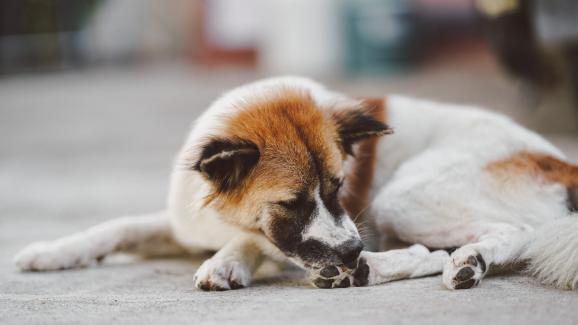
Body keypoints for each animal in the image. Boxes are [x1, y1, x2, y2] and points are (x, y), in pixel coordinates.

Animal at [12, 77, 576, 290]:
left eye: (339, 186)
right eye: (293, 201)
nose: (352, 250)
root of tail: (558, 160)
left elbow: (255, 241)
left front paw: (227, 263)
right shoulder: (184, 222)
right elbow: (117, 226)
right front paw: (51, 251)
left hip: (403, 198)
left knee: (516, 234)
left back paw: (449, 263)